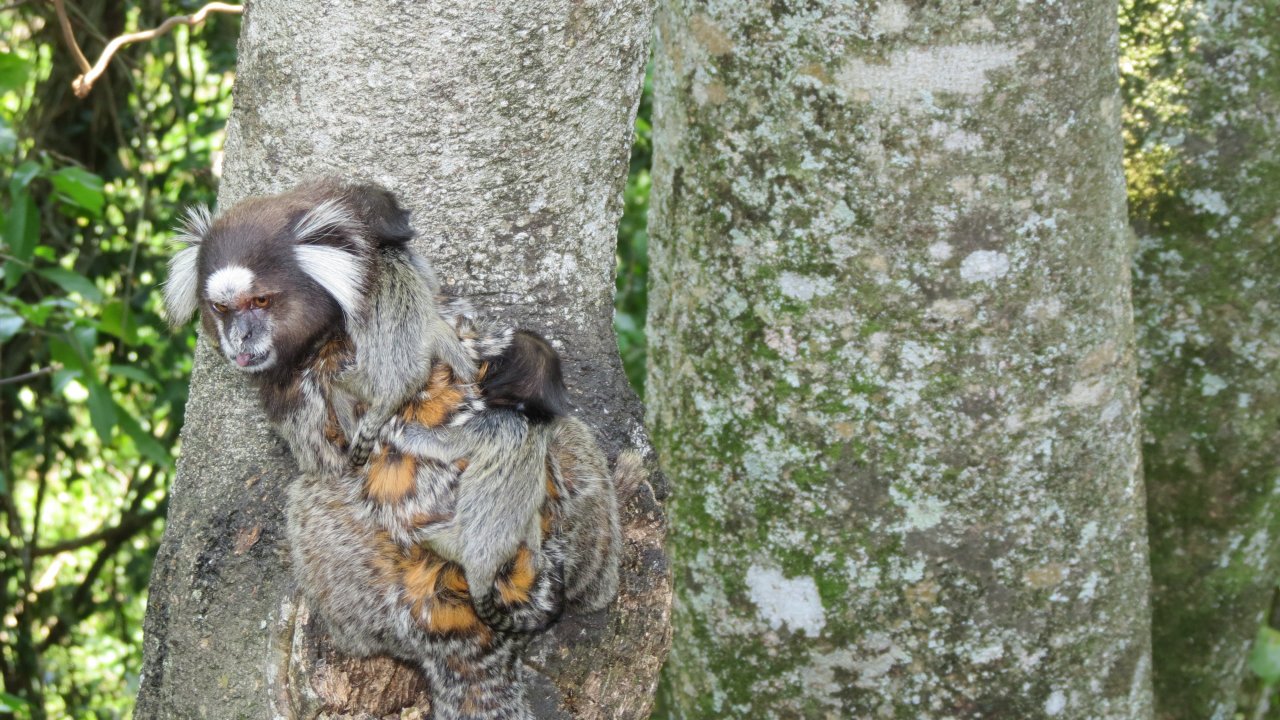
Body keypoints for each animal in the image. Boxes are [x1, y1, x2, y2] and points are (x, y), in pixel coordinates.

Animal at [163, 178, 630, 719]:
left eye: (260, 302)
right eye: (223, 308)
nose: (239, 337)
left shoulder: (300, 395)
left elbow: (328, 459)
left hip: (385, 592)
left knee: (307, 499)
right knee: (566, 434)